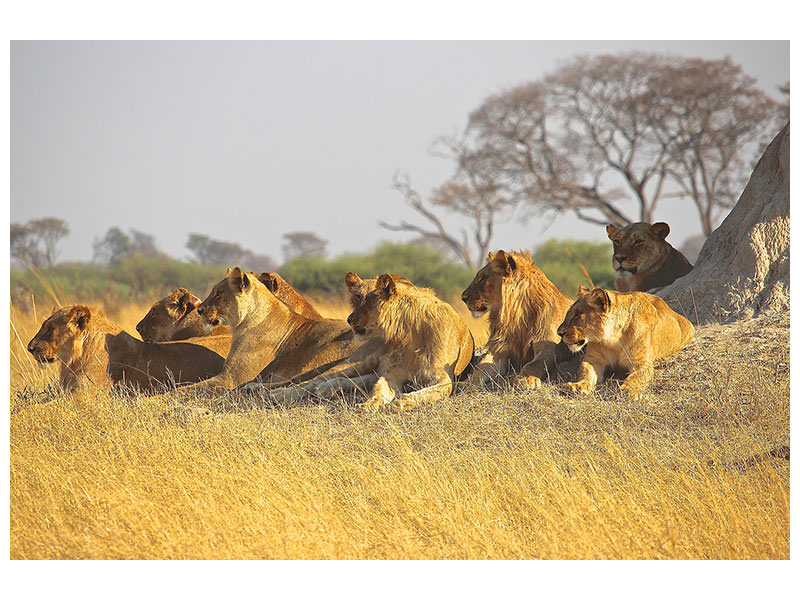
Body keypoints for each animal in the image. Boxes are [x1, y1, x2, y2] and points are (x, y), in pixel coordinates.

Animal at [346, 273, 474, 410]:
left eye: (366, 302)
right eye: (357, 297)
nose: (349, 319)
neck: (410, 332)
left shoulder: (443, 377)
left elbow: (424, 393)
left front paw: (399, 403)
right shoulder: (393, 372)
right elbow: (379, 389)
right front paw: (368, 404)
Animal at [461, 250, 575, 389]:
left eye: (482, 279)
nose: (463, 297)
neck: (517, 317)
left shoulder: (549, 348)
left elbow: (533, 365)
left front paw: (525, 379)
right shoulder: (498, 350)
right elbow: (480, 368)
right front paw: (466, 384)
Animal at [557, 287, 695, 395]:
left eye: (577, 315)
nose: (559, 333)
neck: (613, 339)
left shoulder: (642, 362)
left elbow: (636, 377)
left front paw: (627, 389)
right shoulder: (593, 359)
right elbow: (585, 371)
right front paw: (577, 386)